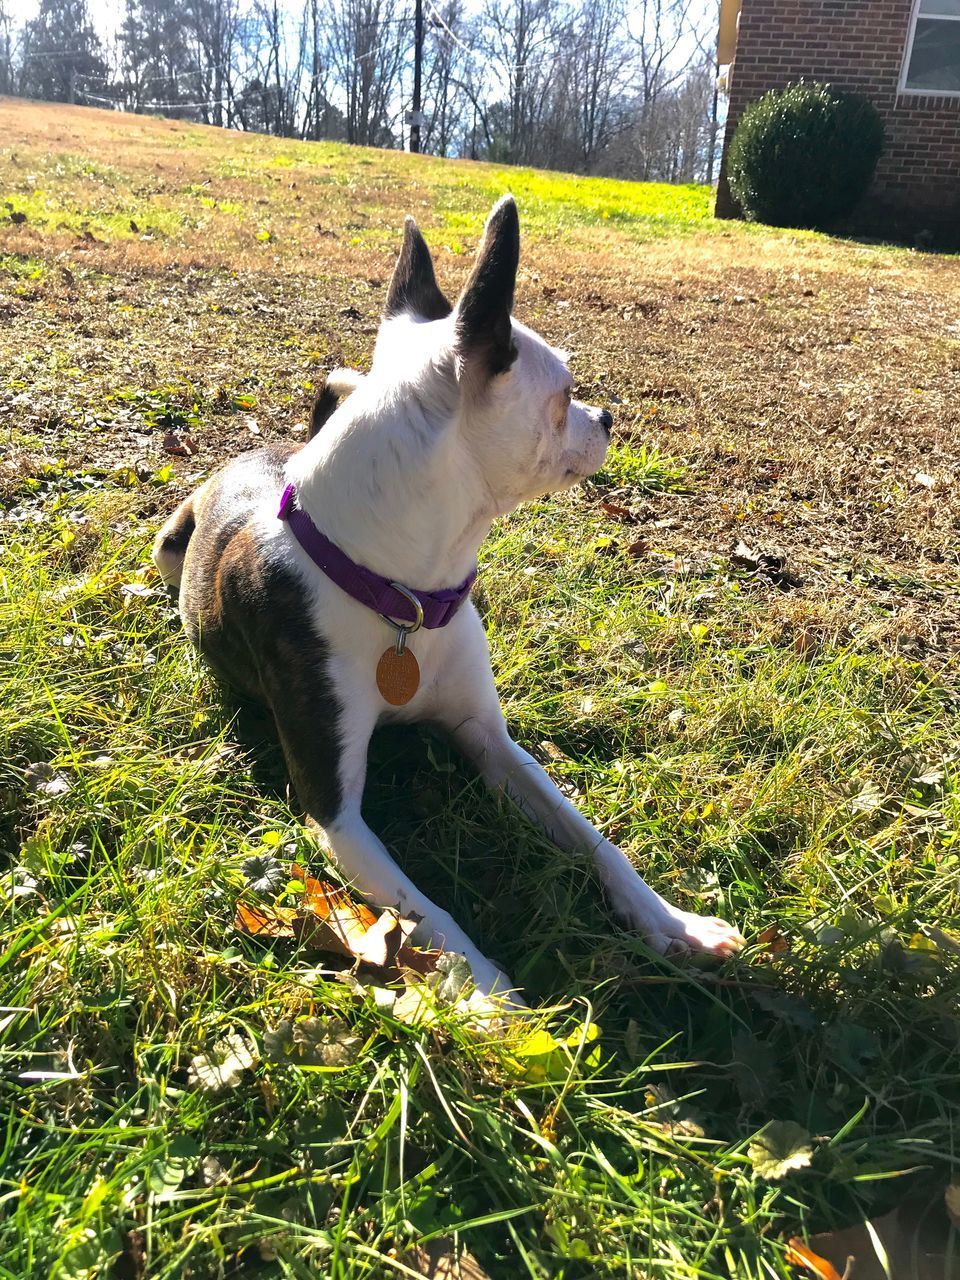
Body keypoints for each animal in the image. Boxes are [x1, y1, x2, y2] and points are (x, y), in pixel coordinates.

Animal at [154, 197, 747, 998]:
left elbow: (593, 839)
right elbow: (429, 918)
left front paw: (672, 922)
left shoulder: (491, 743)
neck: (401, 596)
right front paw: (499, 1003)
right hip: (167, 546)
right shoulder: (337, 817)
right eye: (564, 398)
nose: (608, 417)